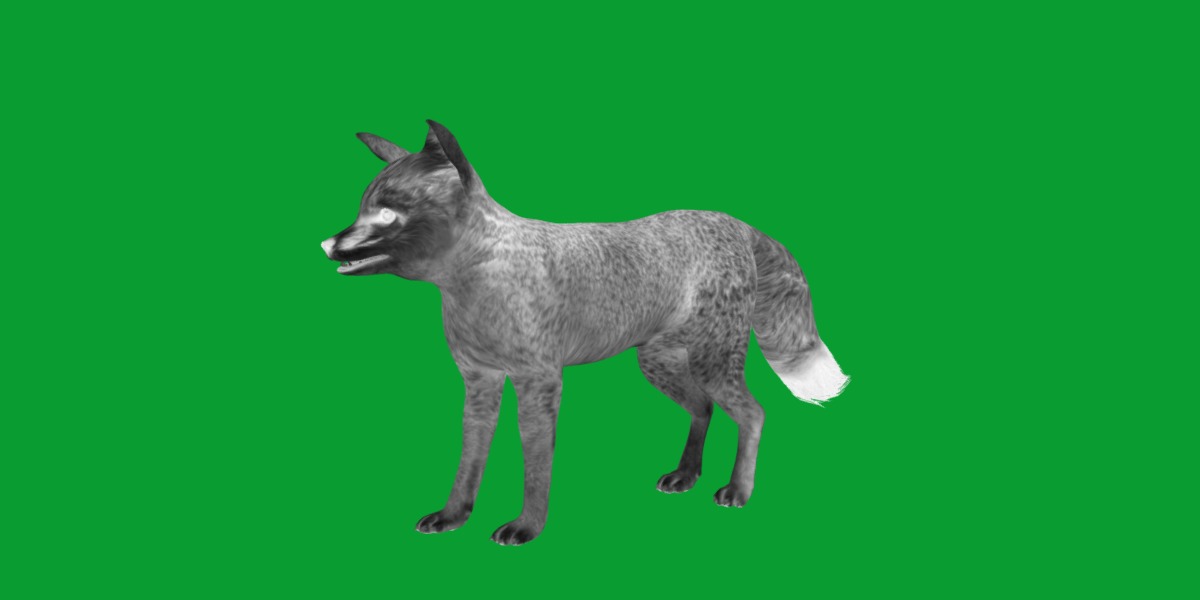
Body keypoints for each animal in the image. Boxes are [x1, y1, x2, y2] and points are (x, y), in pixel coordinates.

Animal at [321, 120, 849, 546]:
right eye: (363, 207)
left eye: (387, 212)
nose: (326, 244)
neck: (478, 284)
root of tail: (736, 223)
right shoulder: (479, 381)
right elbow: (469, 461)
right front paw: (454, 517)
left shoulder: (539, 381)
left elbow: (536, 465)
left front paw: (527, 528)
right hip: (659, 364)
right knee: (704, 408)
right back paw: (686, 475)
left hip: (712, 361)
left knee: (754, 413)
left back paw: (738, 489)